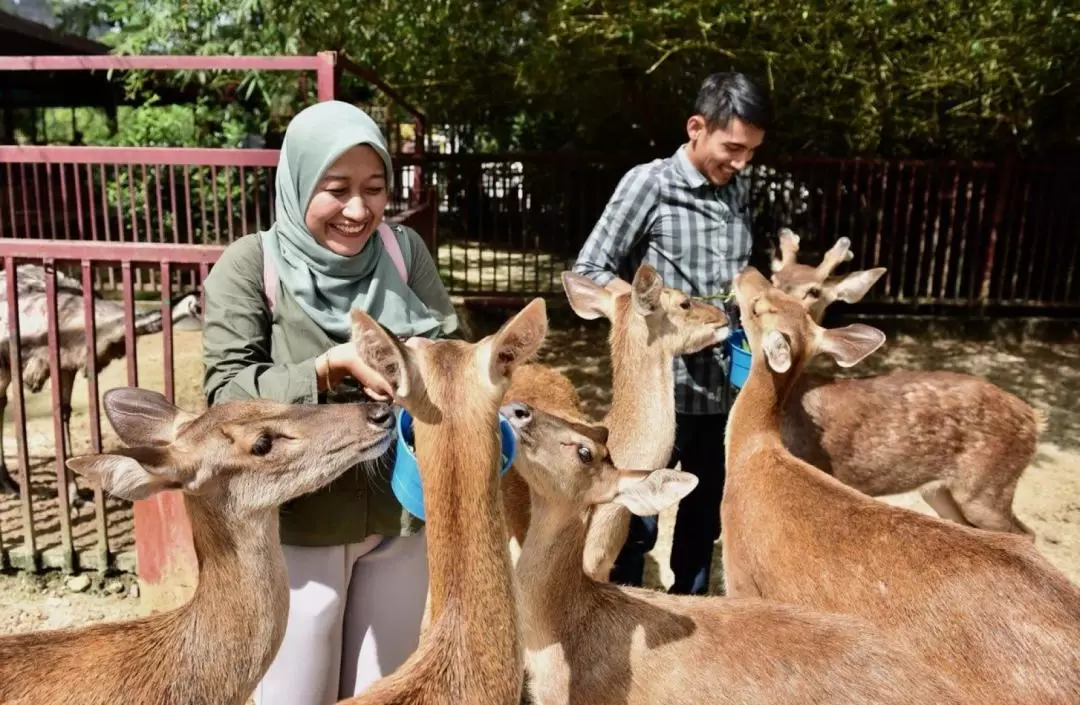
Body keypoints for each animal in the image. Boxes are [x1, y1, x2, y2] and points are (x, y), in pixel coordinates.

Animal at [717, 263, 1080, 703]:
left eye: (759, 306)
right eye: (776, 289)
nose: (745, 269)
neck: (754, 451)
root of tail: (1035, 418)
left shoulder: (741, 576)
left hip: (984, 494)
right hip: (942, 492)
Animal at [768, 229, 1036, 533]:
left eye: (814, 291)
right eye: (773, 279)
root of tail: (1035, 419)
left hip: (987, 489)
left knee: (1026, 532)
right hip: (940, 491)